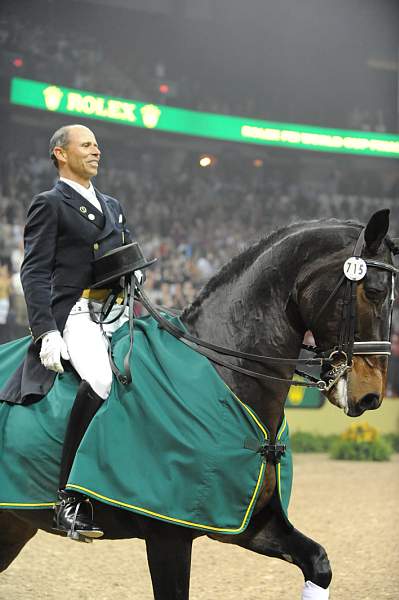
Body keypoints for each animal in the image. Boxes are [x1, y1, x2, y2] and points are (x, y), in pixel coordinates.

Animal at [0, 209, 396, 596]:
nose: (371, 394)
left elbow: (319, 562)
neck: (224, 374)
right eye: (374, 291)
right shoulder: (168, 535)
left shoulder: (247, 518)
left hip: (16, 524)